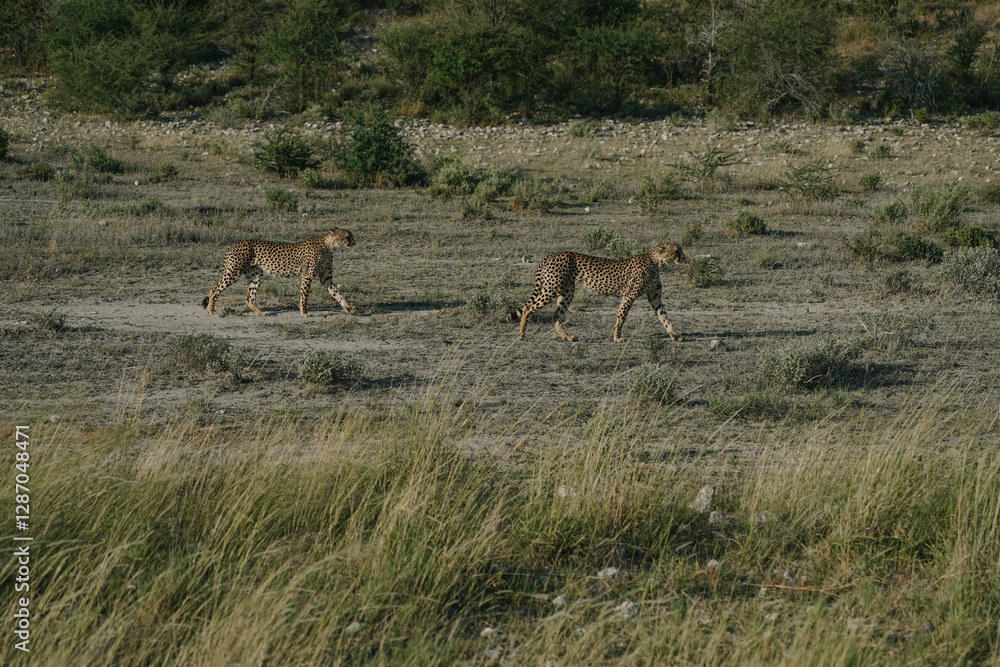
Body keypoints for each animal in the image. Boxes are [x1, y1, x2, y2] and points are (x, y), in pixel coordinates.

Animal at [202, 228, 357, 317]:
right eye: (347, 237)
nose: (354, 242)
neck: (329, 246)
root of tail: (233, 244)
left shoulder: (326, 279)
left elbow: (337, 294)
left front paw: (348, 308)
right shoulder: (307, 275)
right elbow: (304, 295)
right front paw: (304, 312)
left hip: (256, 275)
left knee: (249, 297)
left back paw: (261, 313)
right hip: (233, 272)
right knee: (214, 289)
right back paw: (211, 310)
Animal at [516, 243, 687, 343]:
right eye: (676, 251)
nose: (684, 258)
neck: (656, 262)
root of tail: (549, 255)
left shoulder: (655, 297)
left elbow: (665, 317)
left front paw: (675, 335)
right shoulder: (629, 295)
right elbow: (621, 317)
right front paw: (617, 337)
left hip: (567, 292)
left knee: (556, 317)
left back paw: (567, 337)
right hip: (552, 288)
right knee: (528, 307)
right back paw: (522, 334)